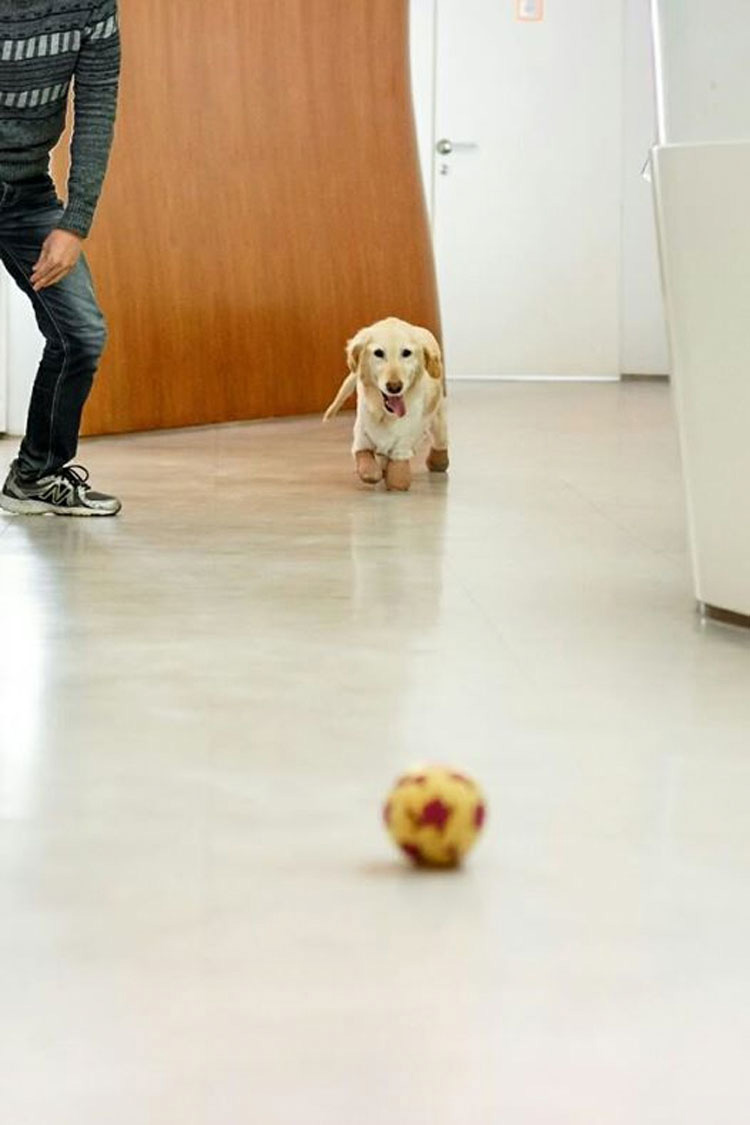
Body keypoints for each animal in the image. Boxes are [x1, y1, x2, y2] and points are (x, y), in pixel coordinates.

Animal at [323, 317, 452, 492]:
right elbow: (368, 465)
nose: (394, 387)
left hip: (437, 419)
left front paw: (395, 479)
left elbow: (398, 478)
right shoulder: (362, 434)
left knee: (440, 441)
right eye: (378, 353)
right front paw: (374, 471)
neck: (385, 415)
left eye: (406, 353)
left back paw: (438, 462)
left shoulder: (403, 441)